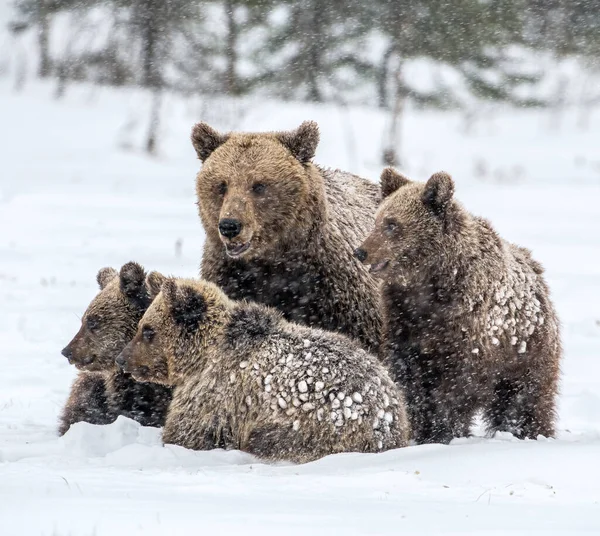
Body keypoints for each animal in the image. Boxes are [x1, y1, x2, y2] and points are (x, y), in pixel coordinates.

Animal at [117, 276, 408, 460]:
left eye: (148, 330)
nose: (121, 359)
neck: (201, 357)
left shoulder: (214, 395)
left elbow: (188, 432)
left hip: (315, 425)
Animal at [354, 168, 560, 444]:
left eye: (392, 224)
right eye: (377, 220)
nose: (360, 251)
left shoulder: (466, 330)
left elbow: (455, 388)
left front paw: (443, 431)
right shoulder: (404, 325)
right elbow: (411, 381)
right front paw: (420, 428)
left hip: (526, 353)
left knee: (525, 400)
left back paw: (529, 431)